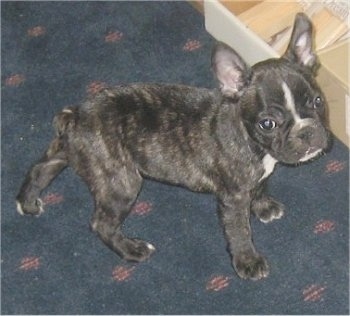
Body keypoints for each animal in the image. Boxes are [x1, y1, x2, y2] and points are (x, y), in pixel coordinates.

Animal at [16, 12, 330, 280]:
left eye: (318, 101)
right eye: (268, 124)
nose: (306, 132)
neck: (252, 142)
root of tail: (76, 115)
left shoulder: (256, 177)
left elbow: (262, 185)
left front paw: (263, 206)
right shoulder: (233, 197)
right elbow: (239, 229)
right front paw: (248, 262)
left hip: (69, 152)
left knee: (41, 168)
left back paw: (27, 202)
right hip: (122, 182)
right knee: (101, 223)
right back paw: (132, 249)